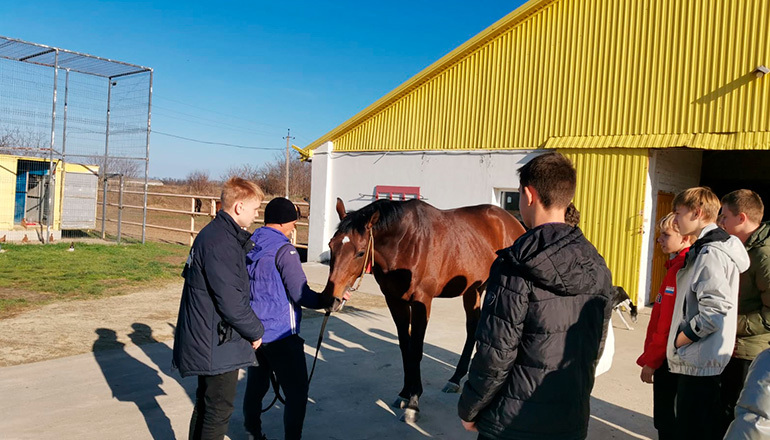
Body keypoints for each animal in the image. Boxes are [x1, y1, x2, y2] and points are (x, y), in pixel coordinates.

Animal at [320, 198, 524, 422]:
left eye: (360, 252)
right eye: (331, 245)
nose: (330, 299)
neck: (405, 243)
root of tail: (513, 221)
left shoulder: (422, 302)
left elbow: (416, 350)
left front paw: (413, 403)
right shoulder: (395, 301)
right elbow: (405, 348)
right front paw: (404, 393)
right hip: (473, 290)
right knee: (472, 328)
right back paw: (456, 379)